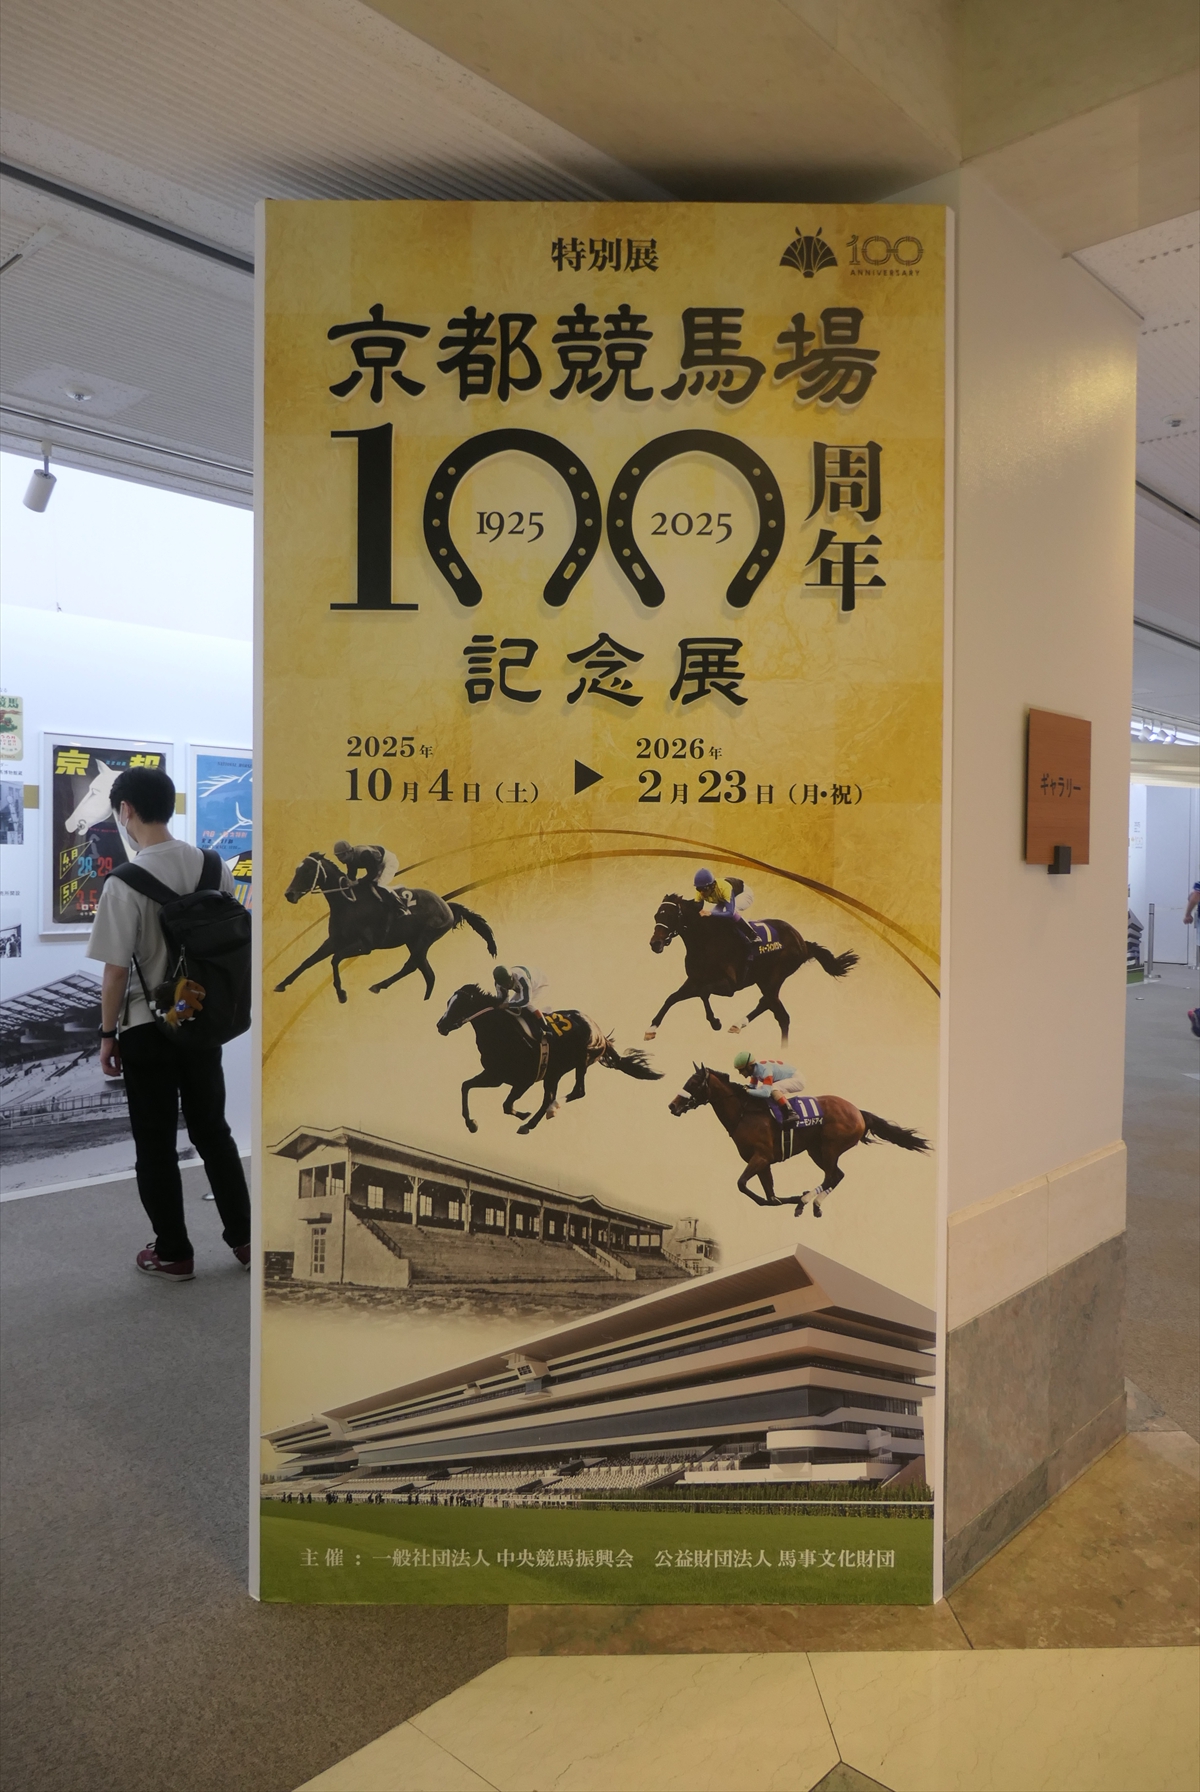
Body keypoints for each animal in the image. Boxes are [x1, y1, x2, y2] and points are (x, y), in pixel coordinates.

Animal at [274, 852, 496, 1004]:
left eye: (307, 870)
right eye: (297, 870)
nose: (289, 894)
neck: (347, 903)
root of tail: (447, 905)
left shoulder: (365, 945)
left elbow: (335, 959)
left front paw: (341, 994)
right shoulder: (335, 940)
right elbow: (308, 961)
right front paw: (281, 984)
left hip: (425, 938)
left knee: (412, 966)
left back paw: (378, 986)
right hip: (413, 941)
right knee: (427, 973)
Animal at [438, 983, 662, 1134]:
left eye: (459, 1004)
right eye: (448, 1002)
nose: (440, 1025)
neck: (502, 1031)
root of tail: (601, 1035)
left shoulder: (523, 1080)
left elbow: (506, 1105)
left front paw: (522, 1114)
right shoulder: (496, 1076)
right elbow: (466, 1086)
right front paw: (471, 1123)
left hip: (581, 1060)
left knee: (576, 1091)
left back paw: (550, 1111)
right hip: (554, 1072)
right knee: (550, 1096)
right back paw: (530, 1123)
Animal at [646, 893, 858, 1046]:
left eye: (671, 915)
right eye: (656, 916)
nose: (655, 944)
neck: (706, 940)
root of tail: (802, 941)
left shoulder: (729, 985)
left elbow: (702, 992)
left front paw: (715, 1021)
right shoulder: (695, 978)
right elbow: (673, 997)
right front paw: (651, 1028)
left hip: (777, 974)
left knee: (772, 1006)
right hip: (764, 978)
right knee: (776, 1009)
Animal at [668, 1064, 929, 1214]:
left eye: (693, 1082)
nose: (672, 1105)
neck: (744, 1112)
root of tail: (858, 1111)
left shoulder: (761, 1156)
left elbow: (742, 1185)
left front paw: (794, 1198)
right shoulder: (763, 1161)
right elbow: (769, 1195)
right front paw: (781, 1200)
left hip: (830, 1146)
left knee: (831, 1175)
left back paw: (804, 1200)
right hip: (816, 1150)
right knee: (837, 1175)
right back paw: (813, 1204)